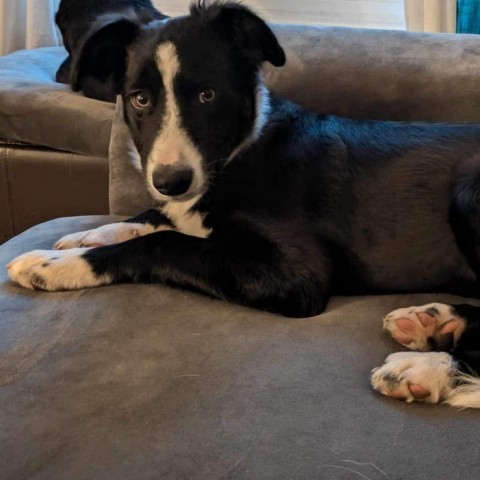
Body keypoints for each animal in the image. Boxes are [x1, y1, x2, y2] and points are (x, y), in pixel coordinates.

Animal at [7, 1, 480, 408]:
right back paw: (435, 321)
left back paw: (431, 368)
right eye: (140, 98)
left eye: (208, 95)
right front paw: (86, 236)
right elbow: (155, 219)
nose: (170, 181)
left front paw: (55, 265)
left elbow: (166, 243)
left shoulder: (297, 275)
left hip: (467, 193)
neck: (242, 151)